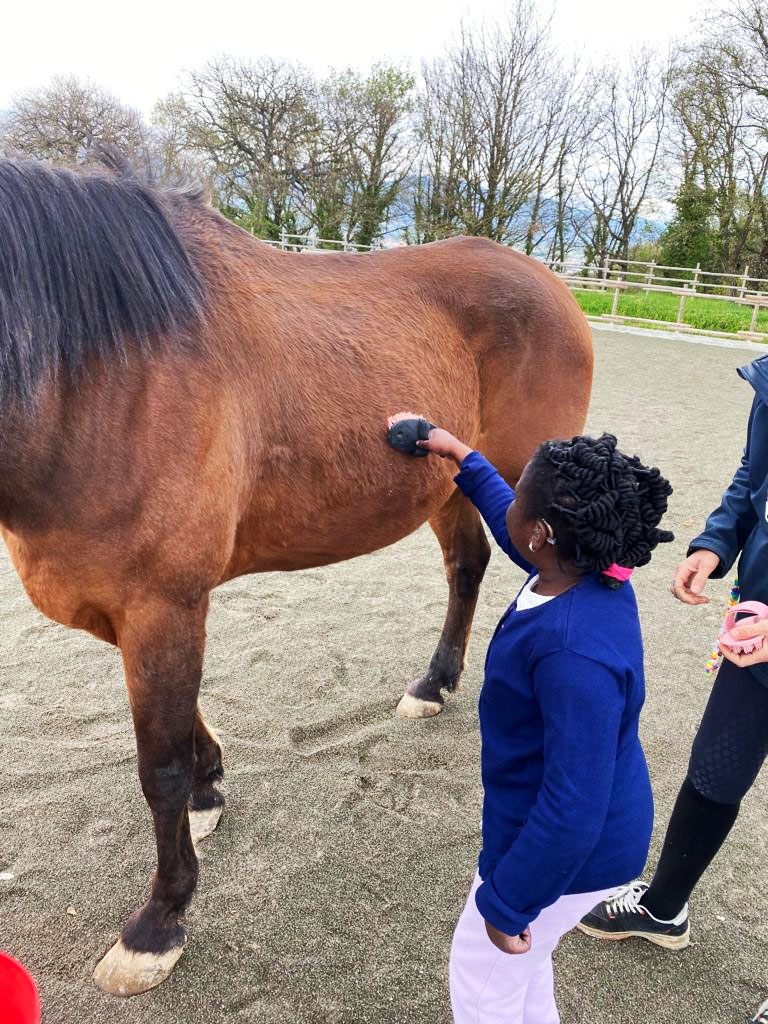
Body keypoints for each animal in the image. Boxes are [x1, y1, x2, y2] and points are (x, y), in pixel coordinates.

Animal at [0, 155, 593, 995]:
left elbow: (158, 766)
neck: (100, 378)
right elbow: (181, 729)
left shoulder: (161, 603)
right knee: (468, 566)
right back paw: (434, 683)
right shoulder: (132, 604)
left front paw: (159, 921)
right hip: (452, 478)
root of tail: (544, 277)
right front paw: (212, 783)